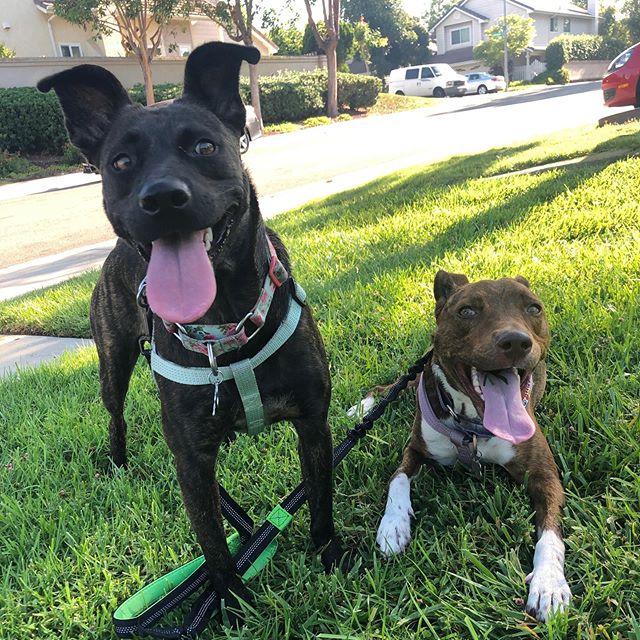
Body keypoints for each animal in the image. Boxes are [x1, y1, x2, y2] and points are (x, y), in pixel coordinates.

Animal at [38, 42, 342, 624]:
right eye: (121, 163)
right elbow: (214, 543)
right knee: (115, 417)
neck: (226, 325)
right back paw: (117, 465)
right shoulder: (192, 460)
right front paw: (229, 603)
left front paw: (331, 555)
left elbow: (319, 498)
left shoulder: (313, 422)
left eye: (204, 146)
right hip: (112, 364)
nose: (161, 197)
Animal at [372, 270, 572, 620]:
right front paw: (393, 525)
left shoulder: (544, 473)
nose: (516, 341)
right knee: (391, 387)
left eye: (533, 308)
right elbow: (397, 480)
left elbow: (550, 532)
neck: (473, 427)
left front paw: (548, 582)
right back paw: (362, 407)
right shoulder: (416, 449)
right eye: (467, 311)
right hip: (416, 375)